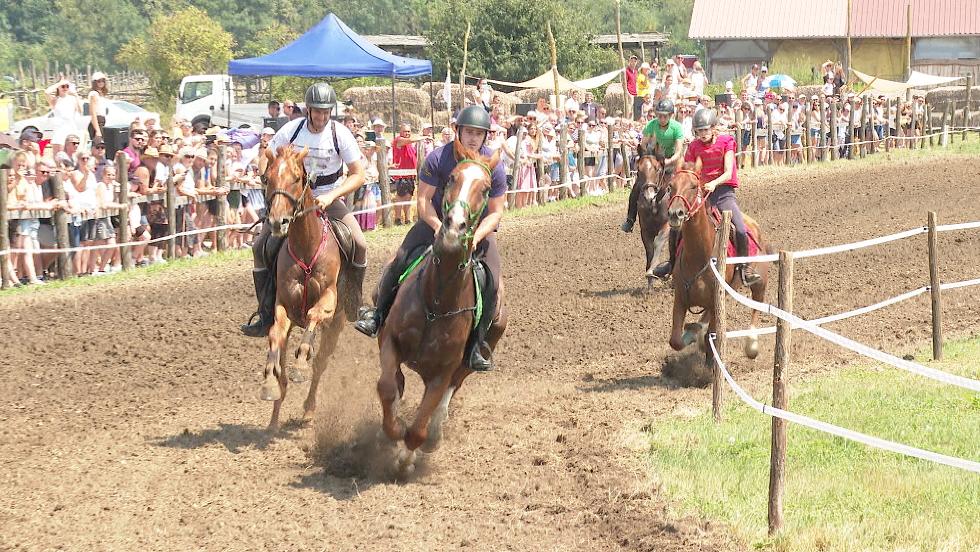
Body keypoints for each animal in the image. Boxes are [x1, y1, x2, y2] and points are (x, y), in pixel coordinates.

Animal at [258, 148, 354, 432]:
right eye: (267, 178)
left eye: (296, 178)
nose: (277, 222)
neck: (305, 246)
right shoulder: (283, 307)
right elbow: (275, 335)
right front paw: (269, 383)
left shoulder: (329, 301)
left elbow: (313, 316)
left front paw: (301, 363)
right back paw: (274, 420)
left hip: (336, 325)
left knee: (320, 364)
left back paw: (309, 411)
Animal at [378, 142, 510, 474]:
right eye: (451, 178)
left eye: (486, 189)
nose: (453, 229)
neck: (437, 302)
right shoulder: (390, 341)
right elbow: (386, 387)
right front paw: (393, 430)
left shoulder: (444, 370)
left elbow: (420, 426)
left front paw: (406, 456)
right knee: (396, 383)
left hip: (475, 357)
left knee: (450, 394)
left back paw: (435, 434)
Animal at [636, 153, 672, 292]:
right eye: (638, 171)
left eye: (657, 169)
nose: (648, 196)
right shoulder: (645, 231)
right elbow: (650, 250)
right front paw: (650, 284)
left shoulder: (667, 227)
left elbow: (658, 243)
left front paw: (652, 270)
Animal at [668, 161, 772, 362]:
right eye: (670, 186)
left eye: (693, 186)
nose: (675, 213)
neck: (699, 257)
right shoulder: (681, 299)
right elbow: (675, 341)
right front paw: (691, 334)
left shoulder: (715, 301)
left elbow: (711, 337)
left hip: (760, 282)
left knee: (757, 305)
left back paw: (752, 344)